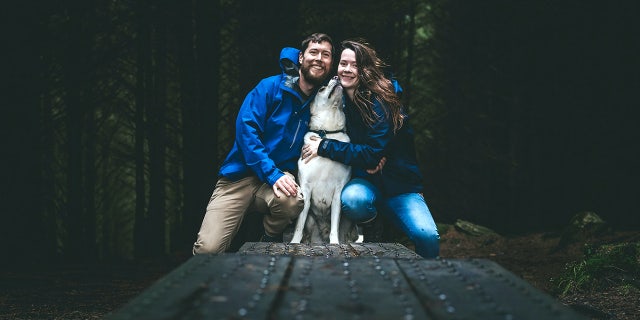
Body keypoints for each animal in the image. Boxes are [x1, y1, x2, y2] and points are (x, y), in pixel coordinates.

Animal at [290, 78, 356, 245]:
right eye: (321, 89)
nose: (336, 77)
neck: (328, 134)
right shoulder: (305, 190)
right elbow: (299, 225)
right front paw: (294, 242)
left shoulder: (338, 192)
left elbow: (334, 225)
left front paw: (334, 243)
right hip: (311, 223)